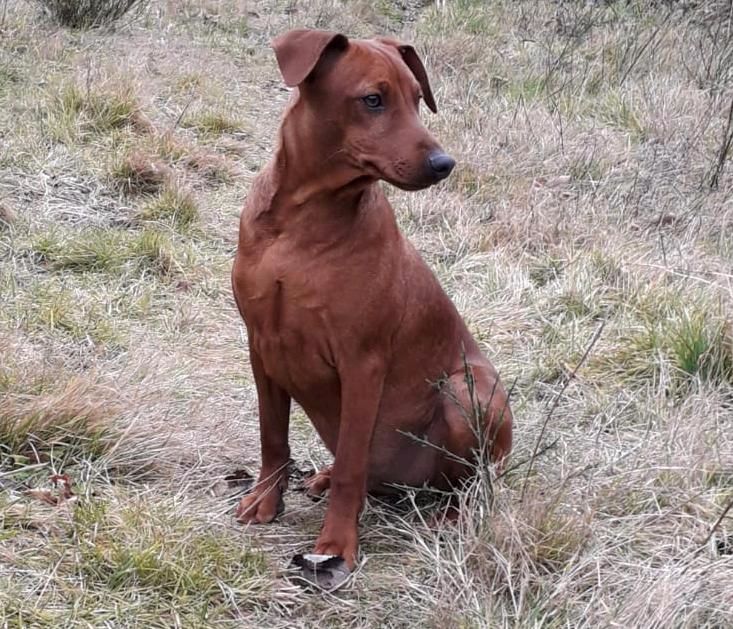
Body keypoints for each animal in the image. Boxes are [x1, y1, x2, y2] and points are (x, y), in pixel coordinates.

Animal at [232, 29, 512, 576]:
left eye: (418, 98)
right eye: (373, 100)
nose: (444, 164)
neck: (300, 224)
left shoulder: (362, 364)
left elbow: (351, 469)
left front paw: (337, 545)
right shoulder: (261, 347)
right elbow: (273, 437)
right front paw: (268, 501)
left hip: (468, 393)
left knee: (471, 486)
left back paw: (448, 516)